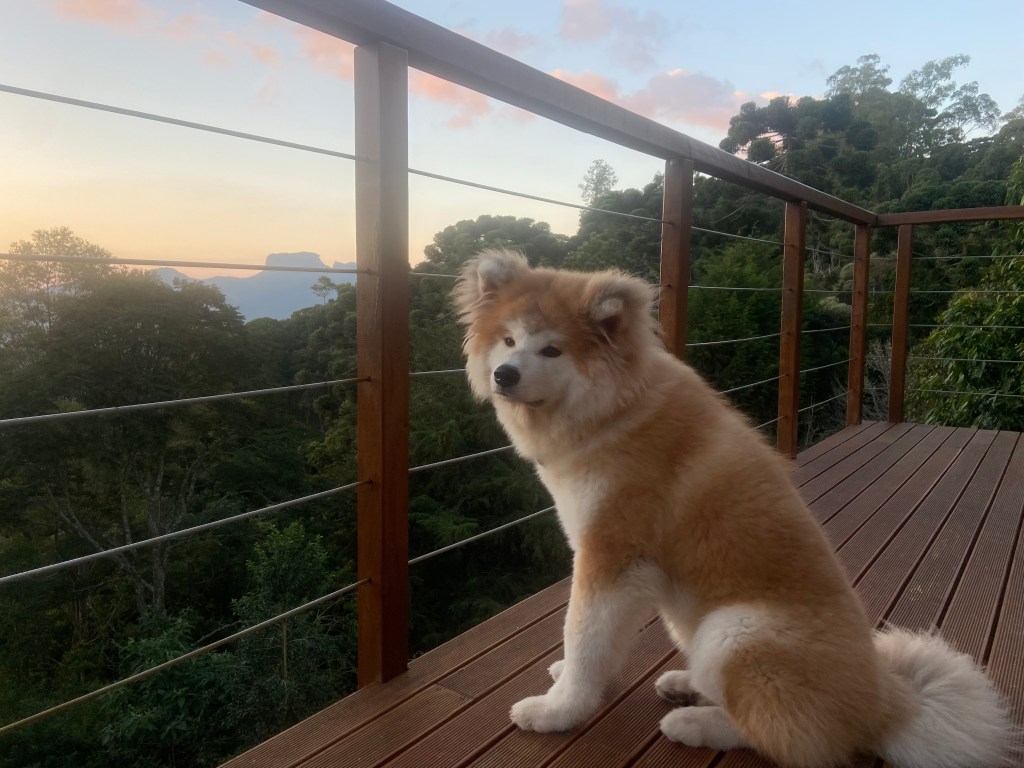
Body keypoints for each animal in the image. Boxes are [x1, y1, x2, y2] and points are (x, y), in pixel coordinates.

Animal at [454, 247, 1007, 768]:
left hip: (734, 631)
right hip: (692, 622)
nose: (504, 374)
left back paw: (693, 723)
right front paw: (566, 679)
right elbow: (593, 644)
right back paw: (685, 684)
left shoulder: (611, 556)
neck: (615, 412)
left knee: (781, 737)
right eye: (508, 341)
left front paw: (558, 710)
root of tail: (884, 703)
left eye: (551, 349)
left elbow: (582, 636)